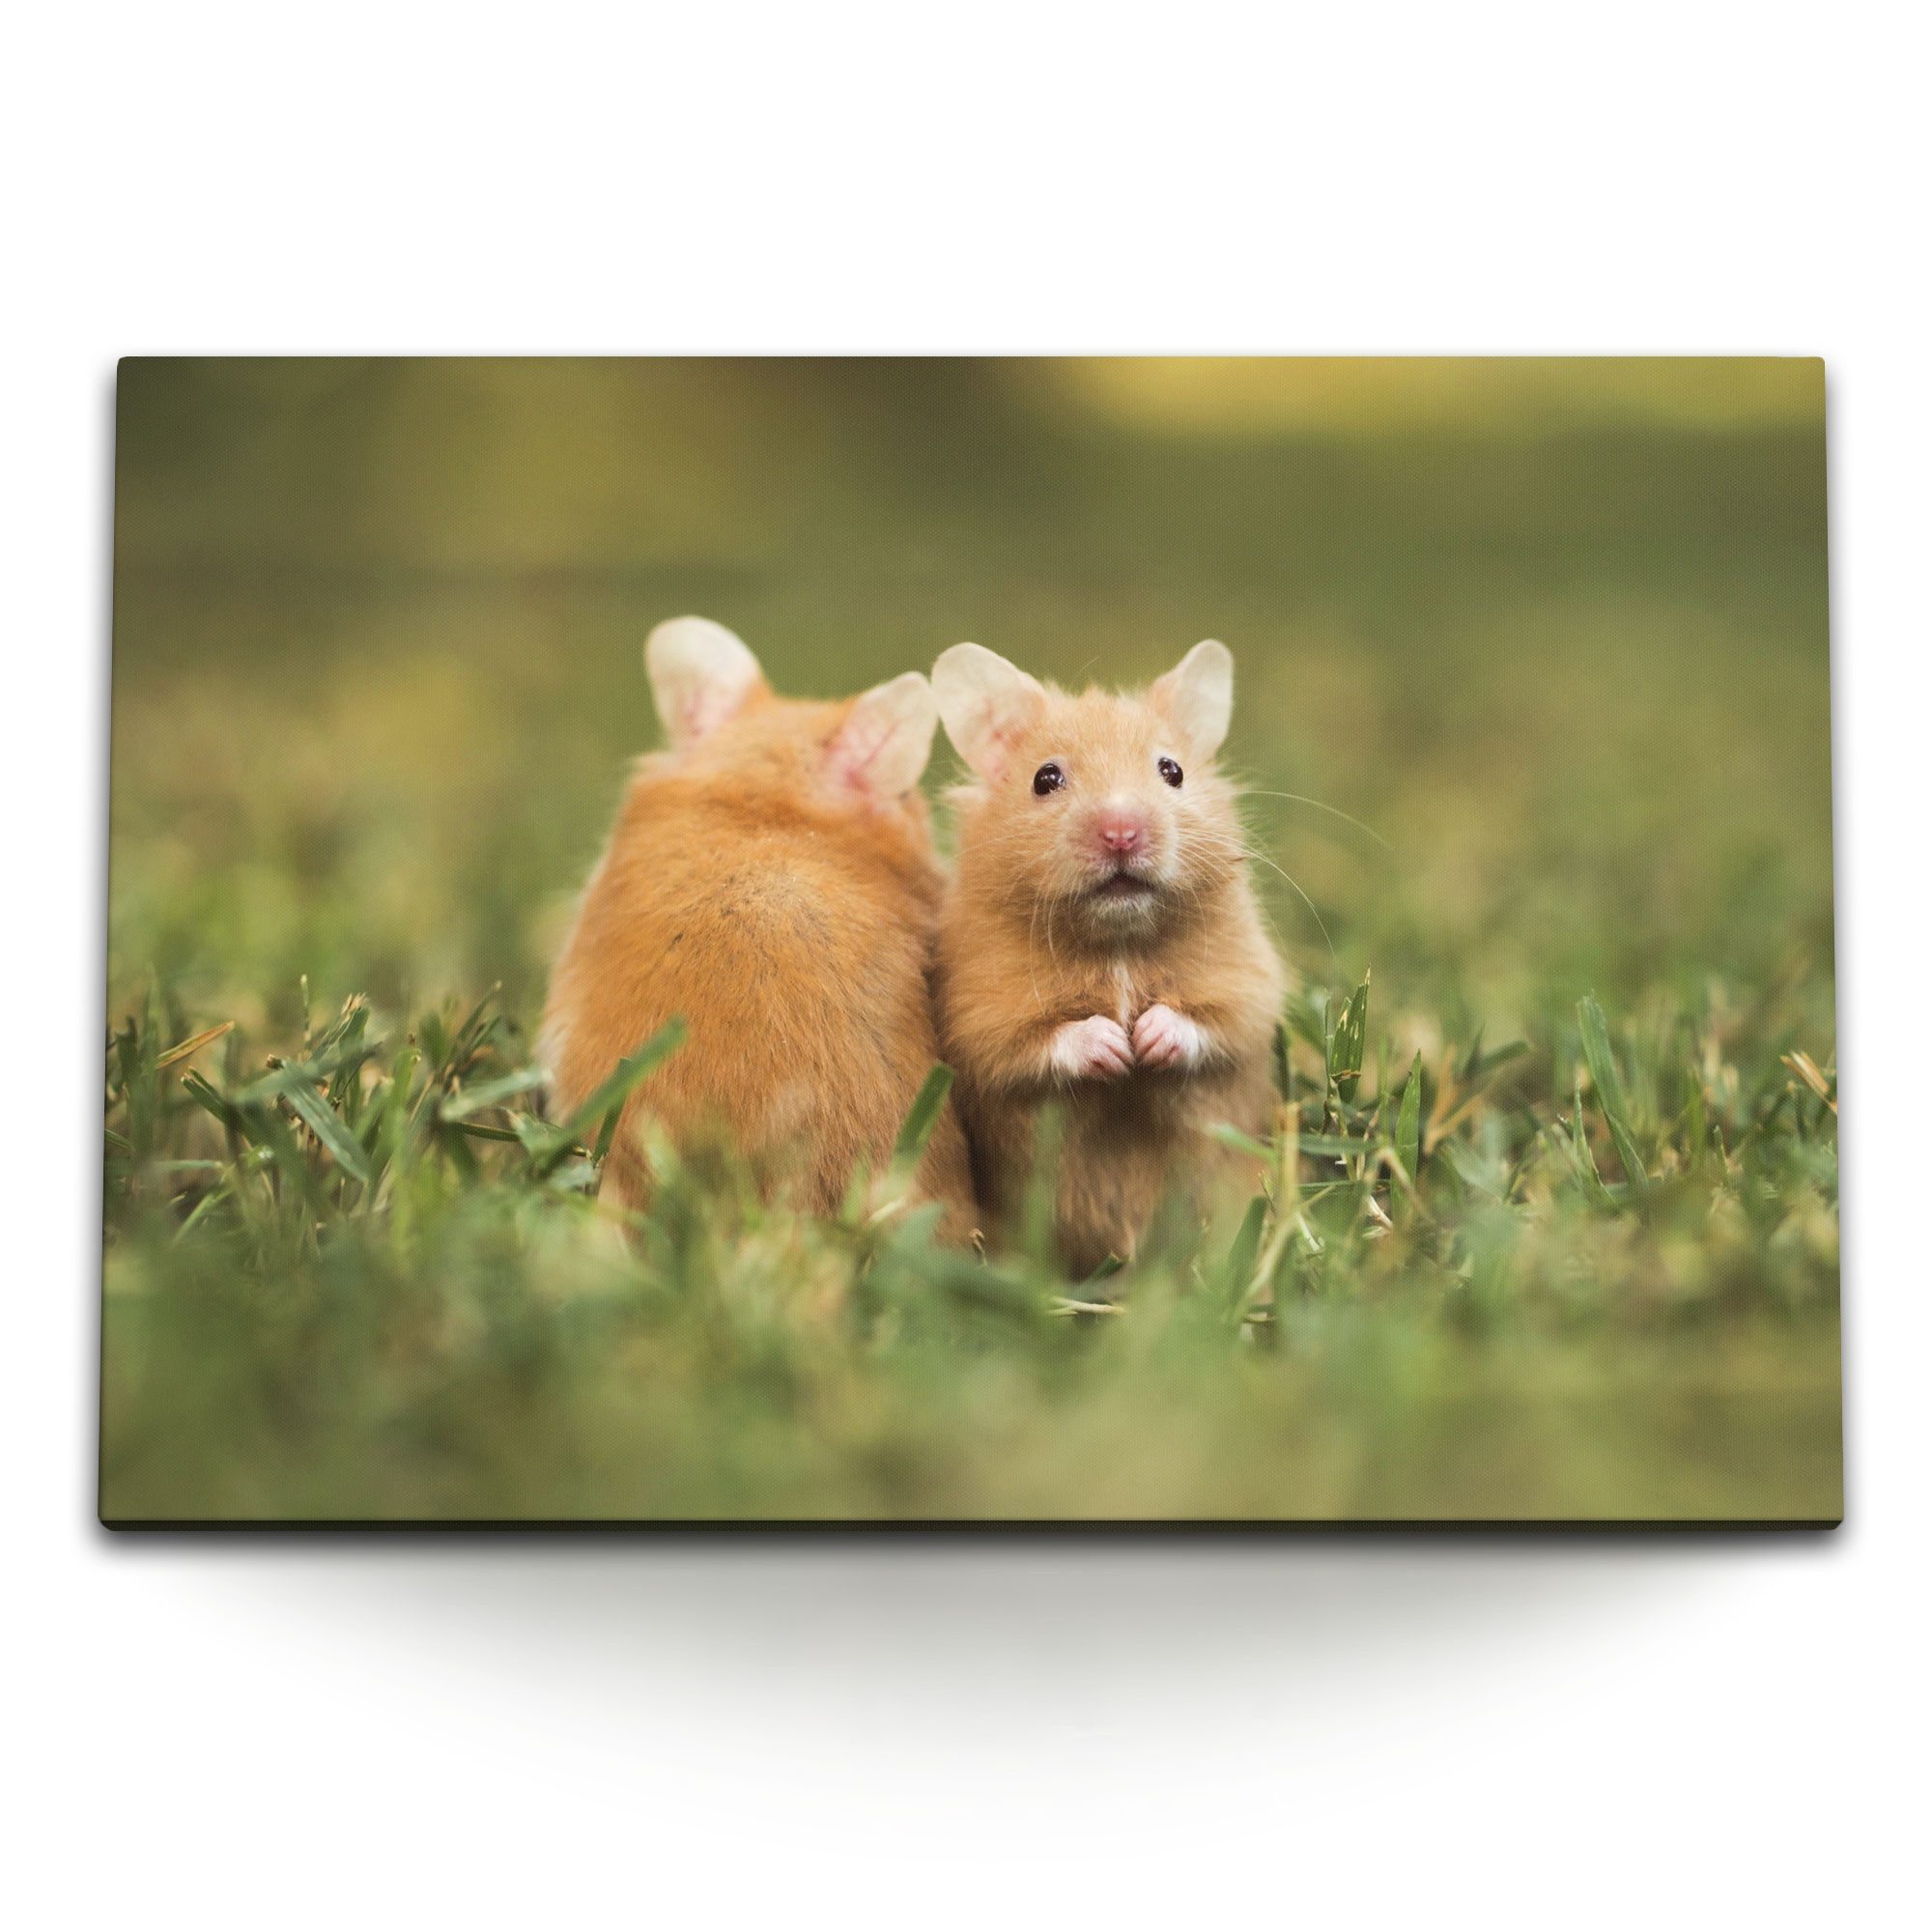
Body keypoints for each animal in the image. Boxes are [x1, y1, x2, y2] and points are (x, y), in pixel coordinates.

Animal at [931, 639, 1285, 1276]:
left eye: (1173, 771)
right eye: (1045, 778)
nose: (1122, 832)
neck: (1118, 941)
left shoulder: (1248, 981)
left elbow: (1216, 1024)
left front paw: (1147, 1039)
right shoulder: (977, 1014)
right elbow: (1033, 1044)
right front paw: (1116, 1047)